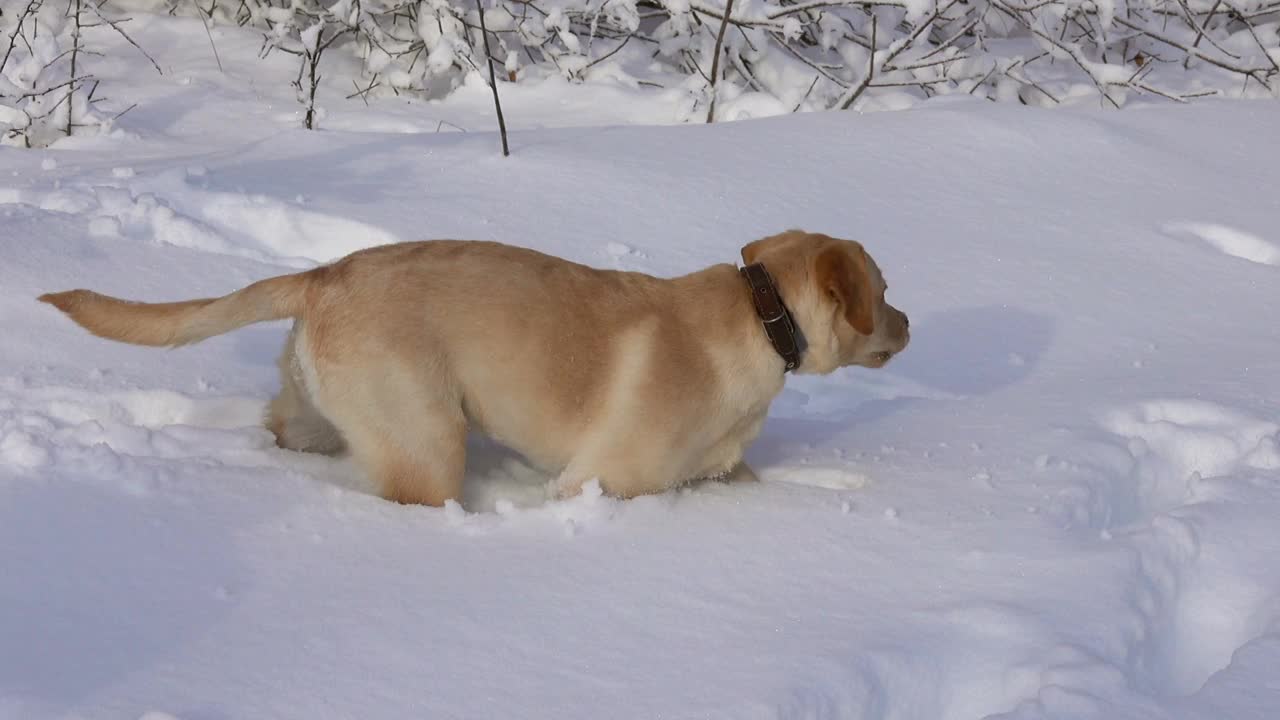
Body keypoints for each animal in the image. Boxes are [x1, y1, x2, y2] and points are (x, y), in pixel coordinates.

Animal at [35, 229, 906, 504]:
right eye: (885, 289)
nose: (908, 324)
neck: (764, 323)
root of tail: (323, 273)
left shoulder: (719, 471)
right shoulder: (598, 479)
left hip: (317, 412)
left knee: (285, 430)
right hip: (428, 441)